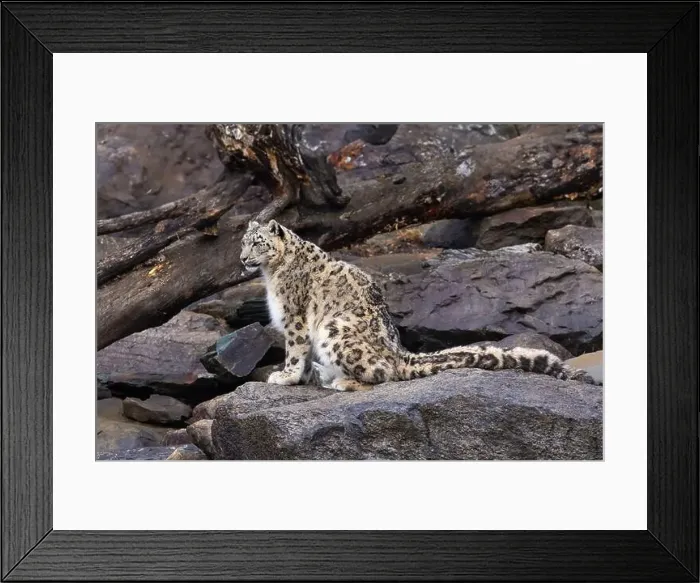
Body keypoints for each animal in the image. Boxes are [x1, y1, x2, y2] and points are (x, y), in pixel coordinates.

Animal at [240, 219, 597, 391]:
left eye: (258, 243)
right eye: (243, 242)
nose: (242, 259)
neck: (271, 274)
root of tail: (400, 353)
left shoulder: (295, 317)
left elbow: (295, 349)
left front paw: (285, 376)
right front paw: (294, 377)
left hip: (334, 328)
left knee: (384, 373)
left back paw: (341, 381)